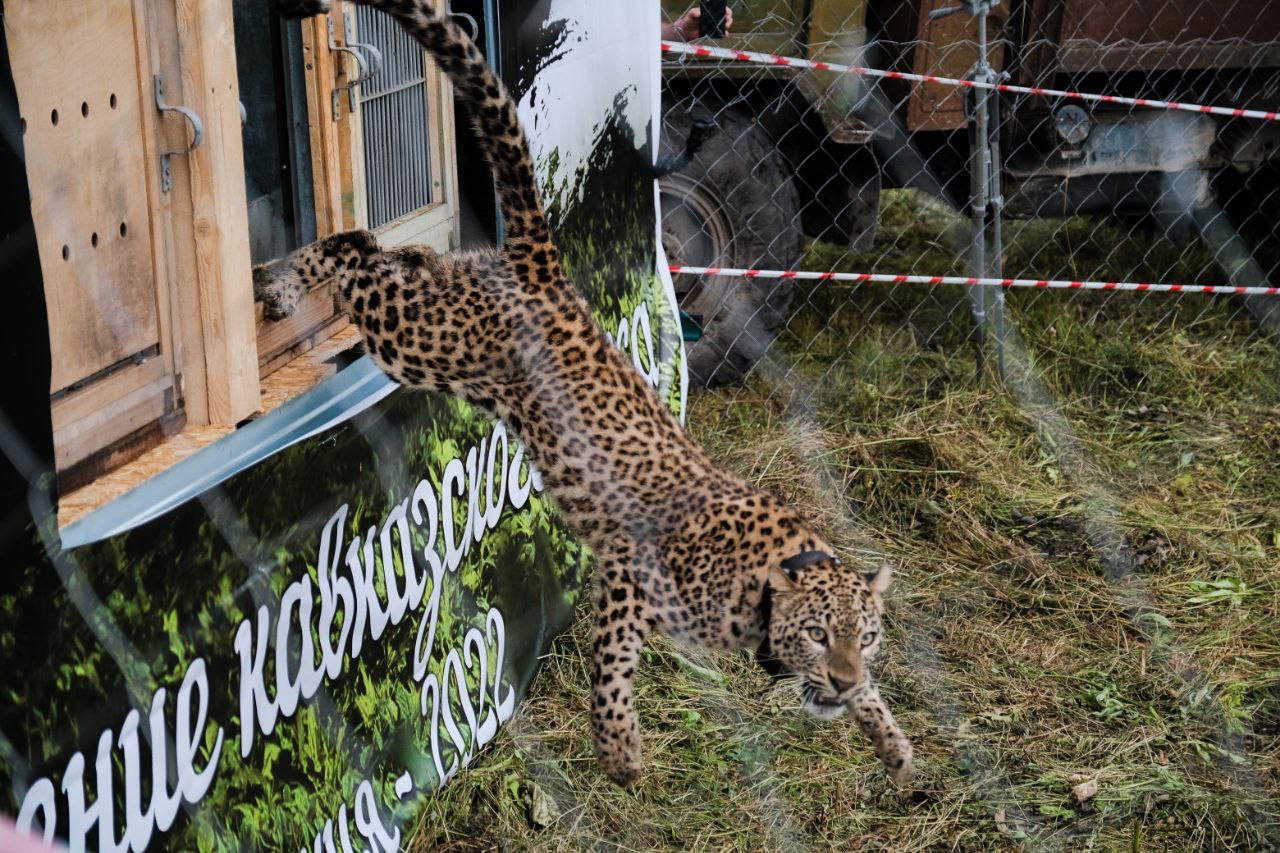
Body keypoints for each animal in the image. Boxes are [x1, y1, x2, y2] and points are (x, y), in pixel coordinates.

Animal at [257, 0, 911, 788]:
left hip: (438, 308)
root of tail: (547, 275)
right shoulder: (630, 569)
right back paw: (280, 286)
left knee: (384, 250)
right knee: (354, 252)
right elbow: (613, 663)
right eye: (815, 633)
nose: (842, 678)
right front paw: (620, 750)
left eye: (866, 638)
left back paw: (350, 266)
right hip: (418, 340)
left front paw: (892, 740)